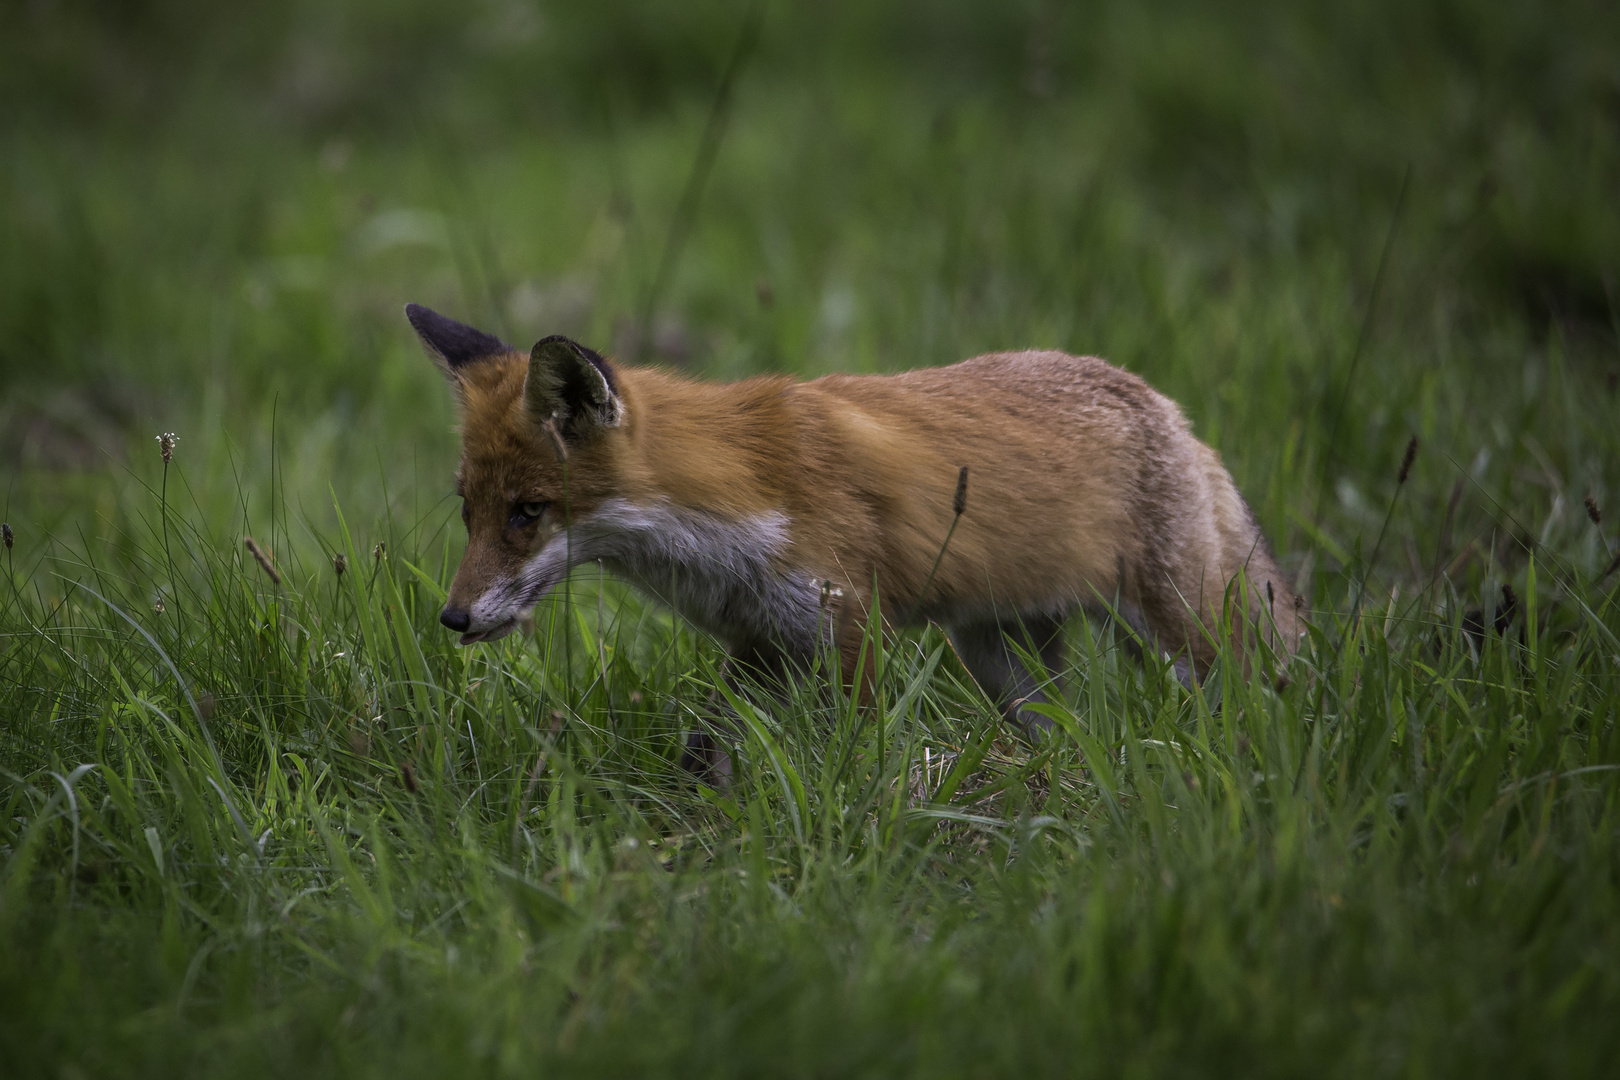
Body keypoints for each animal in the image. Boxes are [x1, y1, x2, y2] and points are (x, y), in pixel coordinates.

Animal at [408, 304, 1302, 773]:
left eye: (529, 512)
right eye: (469, 510)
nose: (453, 619)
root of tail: (1166, 406)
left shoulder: (850, 628)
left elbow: (858, 751)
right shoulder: (759, 642)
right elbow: (709, 750)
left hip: (1185, 631)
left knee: (1257, 691)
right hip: (1003, 662)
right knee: (1062, 726)